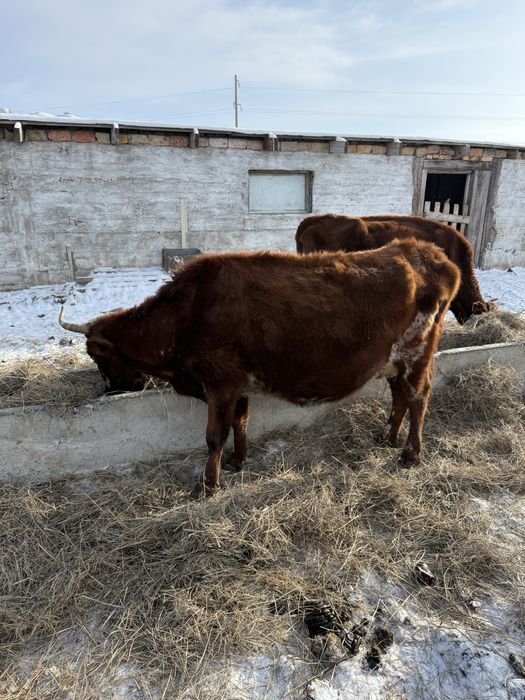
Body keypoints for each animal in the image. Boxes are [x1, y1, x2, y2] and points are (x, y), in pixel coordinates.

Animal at [59, 240, 460, 498]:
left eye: (97, 355)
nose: (110, 388)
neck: (187, 314)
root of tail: (425, 252)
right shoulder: (238, 386)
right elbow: (240, 421)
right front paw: (237, 460)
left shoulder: (220, 382)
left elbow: (214, 435)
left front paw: (207, 485)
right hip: (394, 361)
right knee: (399, 396)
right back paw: (388, 437)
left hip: (416, 354)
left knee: (418, 398)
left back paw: (410, 454)